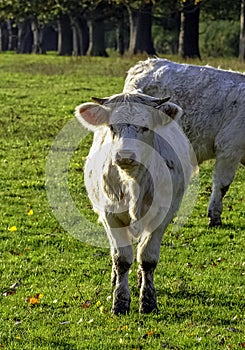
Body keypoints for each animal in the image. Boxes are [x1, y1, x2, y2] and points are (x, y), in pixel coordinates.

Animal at [75, 92, 192, 314]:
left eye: (145, 128)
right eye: (112, 127)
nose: (125, 156)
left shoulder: (162, 215)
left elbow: (147, 258)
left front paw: (148, 300)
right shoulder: (110, 216)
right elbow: (121, 258)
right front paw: (120, 300)